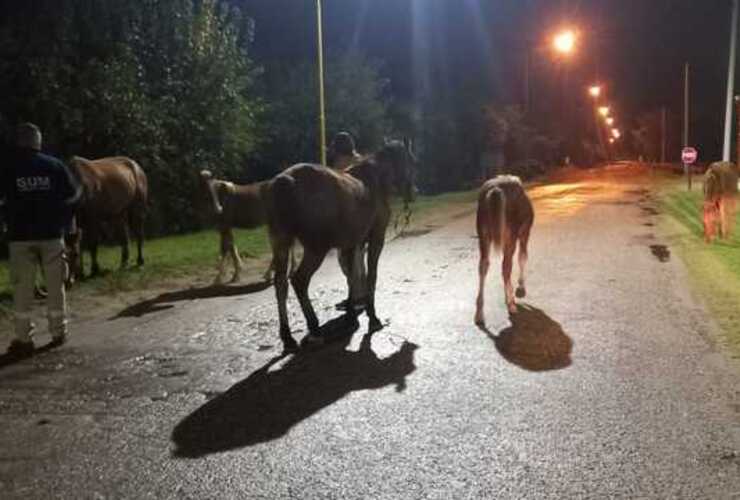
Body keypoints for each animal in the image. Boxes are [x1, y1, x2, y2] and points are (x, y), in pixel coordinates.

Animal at [266, 140, 416, 352]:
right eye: (412, 161)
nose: (413, 192)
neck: (376, 180)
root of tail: (285, 180)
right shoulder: (376, 238)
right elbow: (370, 276)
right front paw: (372, 318)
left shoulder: (352, 243)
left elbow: (352, 277)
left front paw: (352, 315)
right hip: (316, 249)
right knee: (299, 280)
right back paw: (315, 330)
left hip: (281, 243)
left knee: (280, 283)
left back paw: (287, 337)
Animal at [476, 176, 536, 324]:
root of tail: (495, 190)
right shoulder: (524, 233)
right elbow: (522, 257)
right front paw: (520, 287)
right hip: (511, 234)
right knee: (506, 266)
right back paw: (511, 304)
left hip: (483, 234)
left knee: (484, 265)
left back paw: (479, 314)